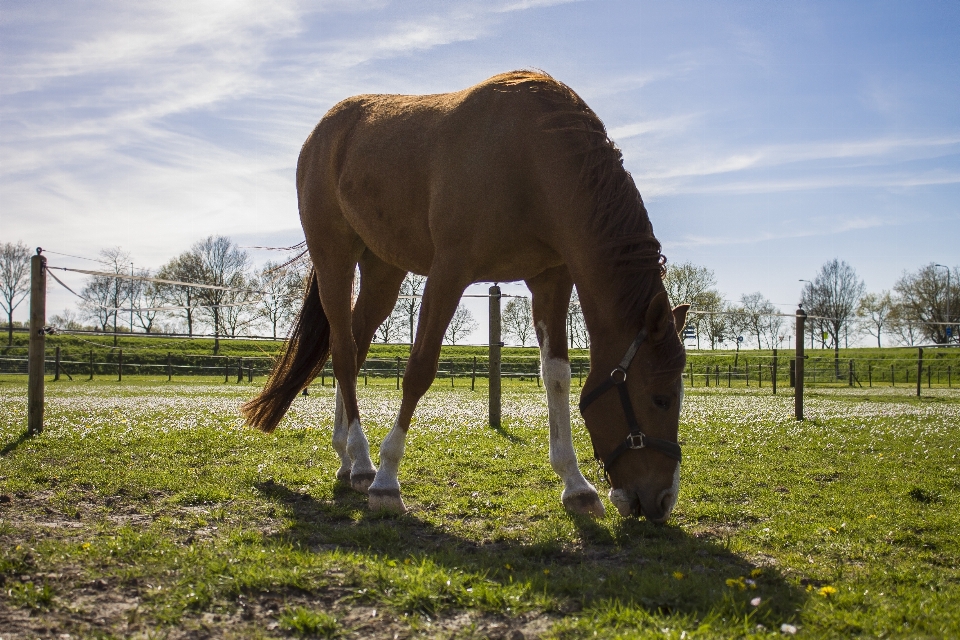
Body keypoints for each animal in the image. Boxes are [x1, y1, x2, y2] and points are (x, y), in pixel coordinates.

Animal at [244, 70, 688, 524]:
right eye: (662, 398)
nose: (663, 500)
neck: (533, 160)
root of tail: (322, 132)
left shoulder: (550, 281)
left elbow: (557, 377)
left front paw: (576, 486)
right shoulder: (449, 272)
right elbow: (419, 369)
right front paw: (387, 480)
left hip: (383, 269)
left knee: (354, 341)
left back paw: (348, 459)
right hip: (335, 255)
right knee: (346, 352)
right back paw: (365, 463)